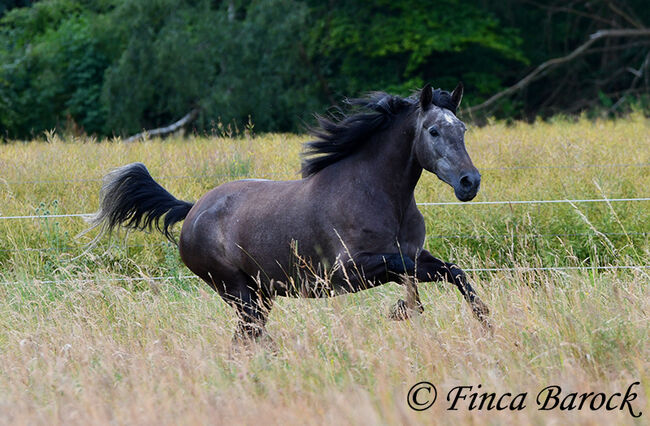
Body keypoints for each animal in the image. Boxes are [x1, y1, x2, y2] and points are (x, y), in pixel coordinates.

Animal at [88, 84, 488, 342]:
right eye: (433, 131)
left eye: (463, 128)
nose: (470, 182)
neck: (380, 195)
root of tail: (193, 210)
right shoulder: (349, 270)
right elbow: (407, 270)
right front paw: (402, 310)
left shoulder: (414, 254)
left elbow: (452, 271)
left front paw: (484, 321)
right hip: (238, 292)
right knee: (249, 337)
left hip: (260, 294)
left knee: (246, 339)